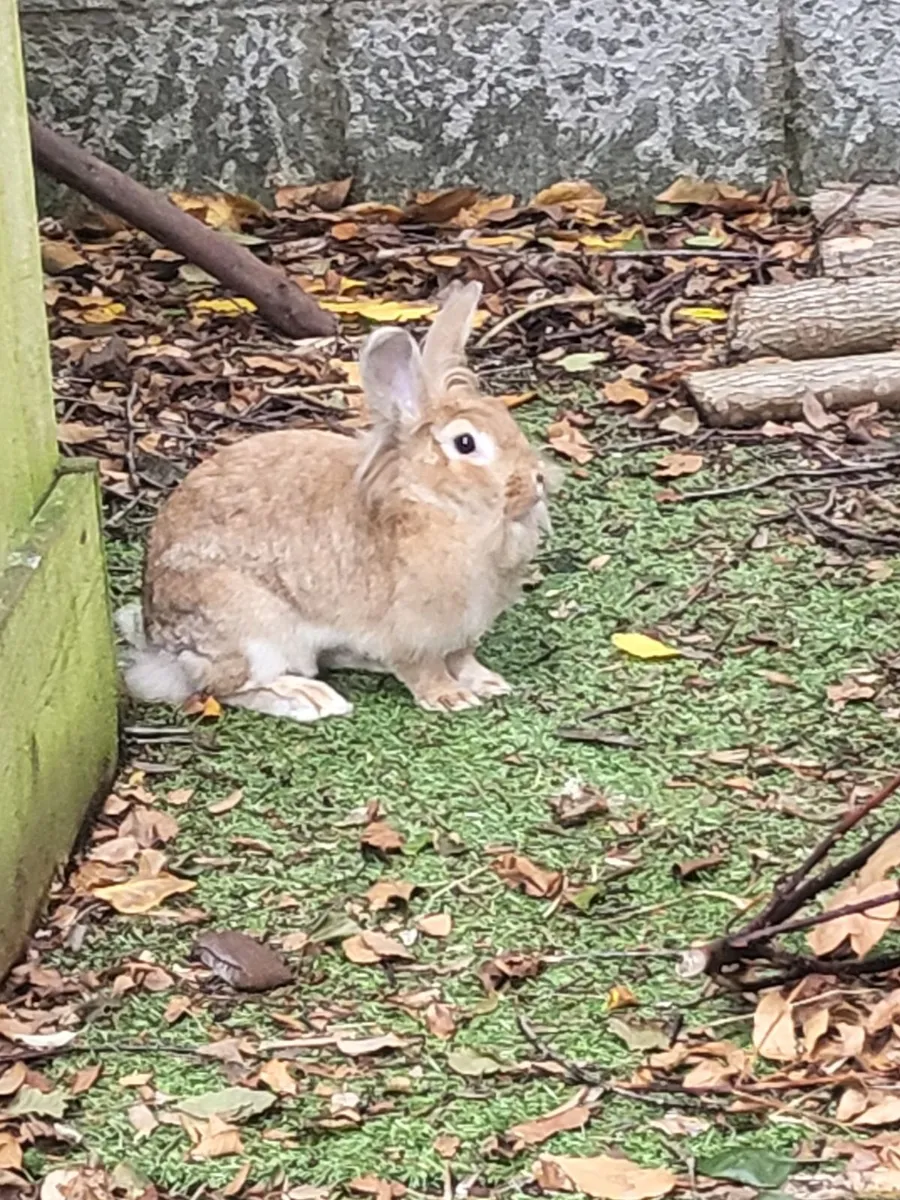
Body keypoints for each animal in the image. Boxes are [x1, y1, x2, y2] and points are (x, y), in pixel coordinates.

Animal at [121, 281, 549, 723]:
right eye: (465, 444)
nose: (536, 482)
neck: (434, 502)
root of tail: (158, 643)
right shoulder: (414, 631)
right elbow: (425, 668)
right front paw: (451, 697)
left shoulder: (461, 631)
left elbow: (463, 658)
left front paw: (488, 682)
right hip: (249, 626)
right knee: (224, 686)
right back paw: (309, 699)